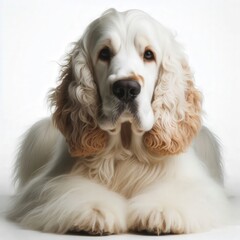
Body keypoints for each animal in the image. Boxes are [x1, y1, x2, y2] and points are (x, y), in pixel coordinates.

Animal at [8, 8, 231, 235]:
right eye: (104, 53)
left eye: (148, 54)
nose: (126, 88)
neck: (126, 143)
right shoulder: (54, 182)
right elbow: (76, 191)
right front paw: (94, 212)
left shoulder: (191, 182)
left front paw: (161, 212)